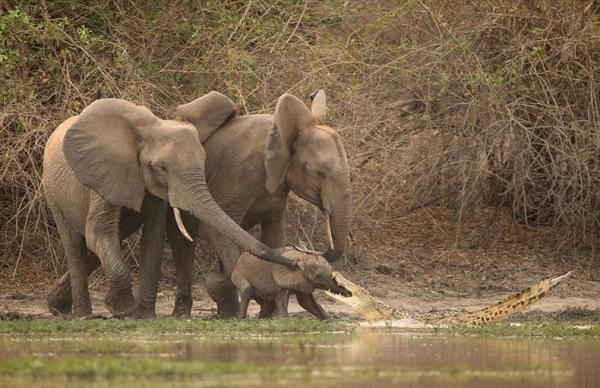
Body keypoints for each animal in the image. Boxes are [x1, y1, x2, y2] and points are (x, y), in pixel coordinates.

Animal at [41, 94, 298, 318]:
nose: (294, 262)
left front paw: (144, 317)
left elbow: (153, 240)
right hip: (52, 191)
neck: (151, 129)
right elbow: (99, 231)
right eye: (162, 168)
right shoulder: (104, 174)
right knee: (76, 245)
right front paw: (121, 310)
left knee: (109, 240)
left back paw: (58, 306)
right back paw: (80, 315)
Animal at [170, 91, 352, 318]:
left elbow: (273, 236)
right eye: (319, 173)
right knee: (183, 246)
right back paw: (187, 313)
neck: (278, 133)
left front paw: (269, 310)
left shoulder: (278, 189)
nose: (314, 251)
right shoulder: (237, 177)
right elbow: (217, 232)